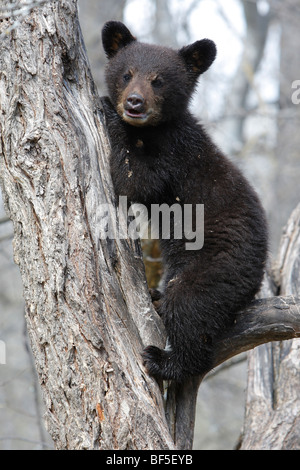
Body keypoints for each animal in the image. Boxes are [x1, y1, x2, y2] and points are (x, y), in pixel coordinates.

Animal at [101, 21, 268, 382]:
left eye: (158, 80)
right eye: (127, 74)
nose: (134, 103)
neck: (154, 130)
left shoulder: (175, 157)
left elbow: (136, 181)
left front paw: (108, 110)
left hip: (215, 266)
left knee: (190, 308)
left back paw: (164, 360)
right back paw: (155, 298)